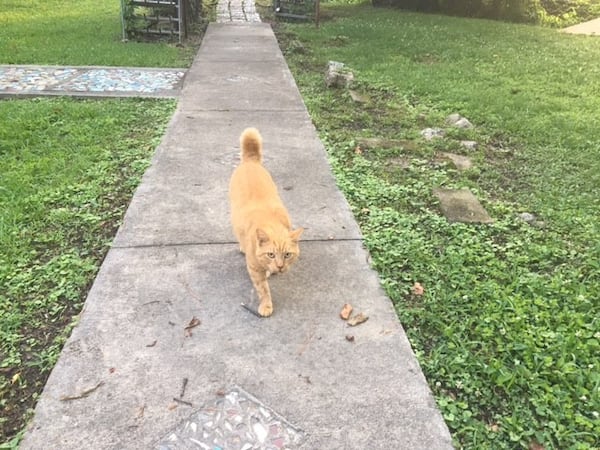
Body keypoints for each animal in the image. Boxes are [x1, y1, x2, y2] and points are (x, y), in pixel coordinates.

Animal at [230, 126, 304, 316]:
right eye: (271, 254)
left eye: (287, 255)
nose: (280, 267)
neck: (271, 222)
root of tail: (250, 161)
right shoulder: (254, 269)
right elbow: (263, 289)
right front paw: (266, 305)